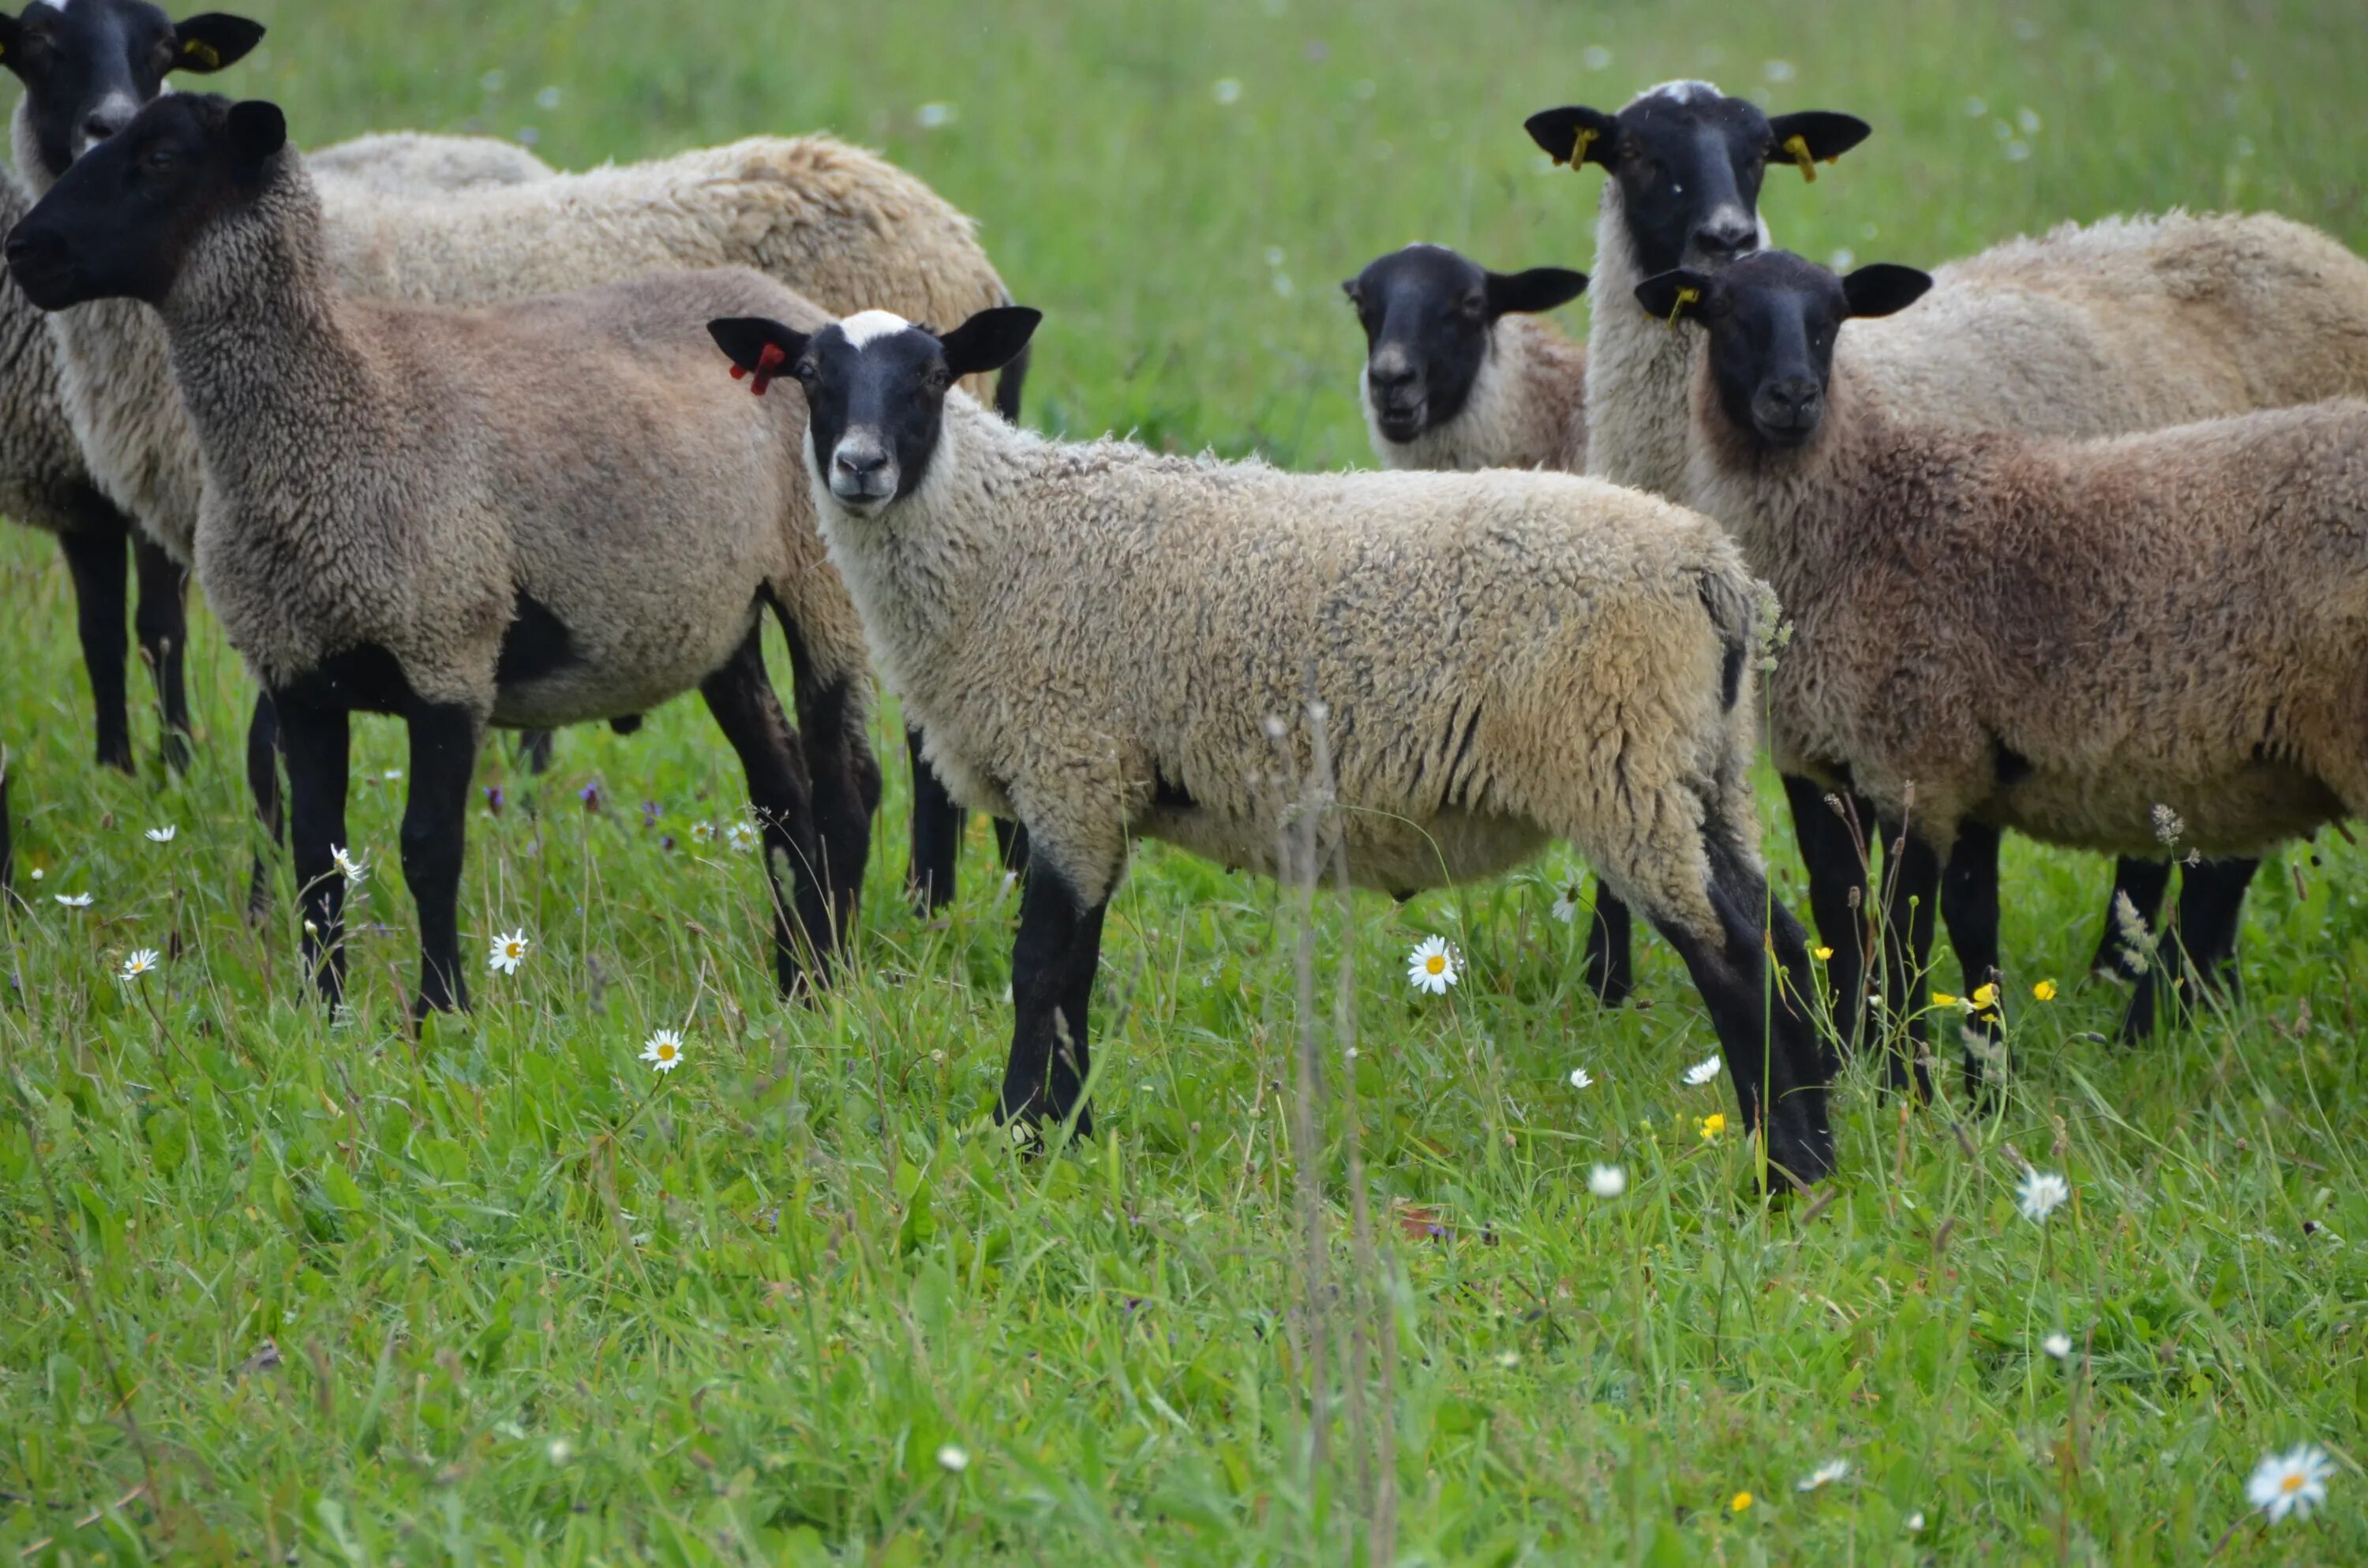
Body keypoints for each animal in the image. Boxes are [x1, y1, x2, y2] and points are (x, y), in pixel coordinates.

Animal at [6, 101, 890, 1018]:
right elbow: (316, 857)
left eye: (161, 157)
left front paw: (441, 1010)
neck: (340, 403)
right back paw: (790, 976)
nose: (25, 249)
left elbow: (428, 846)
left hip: (822, 583)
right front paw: (325, 1013)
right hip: (718, 616)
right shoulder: (299, 668)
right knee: (782, 791)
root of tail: (797, 313)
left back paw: (828, 975)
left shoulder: (446, 647)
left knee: (847, 785)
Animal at [701, 303, 1847, 1193]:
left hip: (1622, 763)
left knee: (1733, 955)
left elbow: (1040, 971)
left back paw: (1779, 1170)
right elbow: (1073, 973)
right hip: (1701, 767)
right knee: (1782, 937)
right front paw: (1064, 1131)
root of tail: (1710, 568)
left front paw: (1023, 1134)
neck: (995, 537)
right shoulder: (1092, 785)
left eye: (933, 377)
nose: (859, 467)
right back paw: (1821, 1148)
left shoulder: (1072, 765)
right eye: (811, 375)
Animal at [1639, 252, 2368, 1098]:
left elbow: (1907, 931)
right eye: (1722, 309)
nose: (1794, 396)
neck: (1862, 515)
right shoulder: (1889, 761)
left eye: (1833, 317)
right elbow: (1888, 918)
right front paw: (1943, 1072)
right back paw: (2152, 1035)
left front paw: (1908, 1086)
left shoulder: (1918, 757)